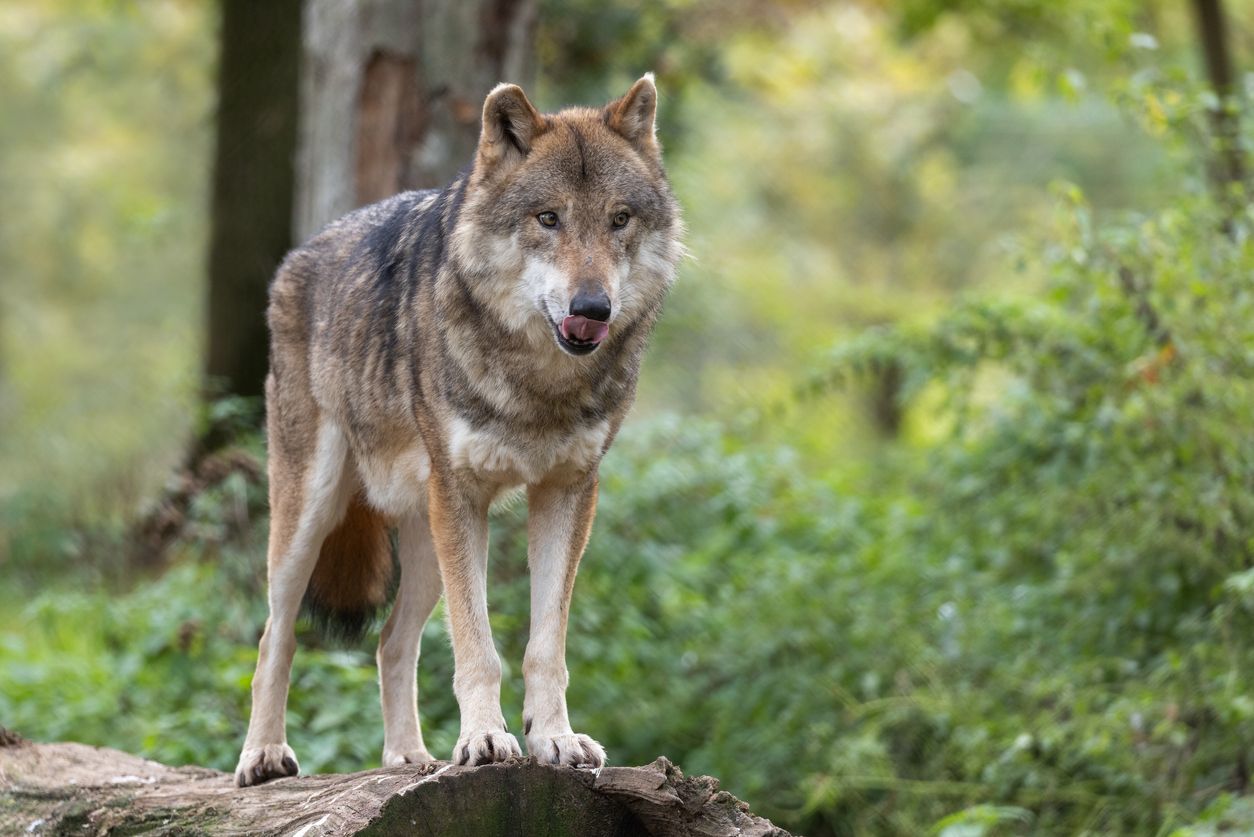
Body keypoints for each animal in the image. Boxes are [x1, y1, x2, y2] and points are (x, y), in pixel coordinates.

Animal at [234, 75, 683, 786]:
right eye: (548, 218)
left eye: (619, 219)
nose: (593, 307)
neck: (538, 386)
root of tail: (297, 256)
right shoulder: (464, 495)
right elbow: (479, 647)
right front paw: (484, 741)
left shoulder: (568, 492)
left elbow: (544, 647)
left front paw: (555, 739)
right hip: (313, 516)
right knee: (274, 635)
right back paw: (262, 757)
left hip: (424, 543)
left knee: (391, 641)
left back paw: (408, 758)